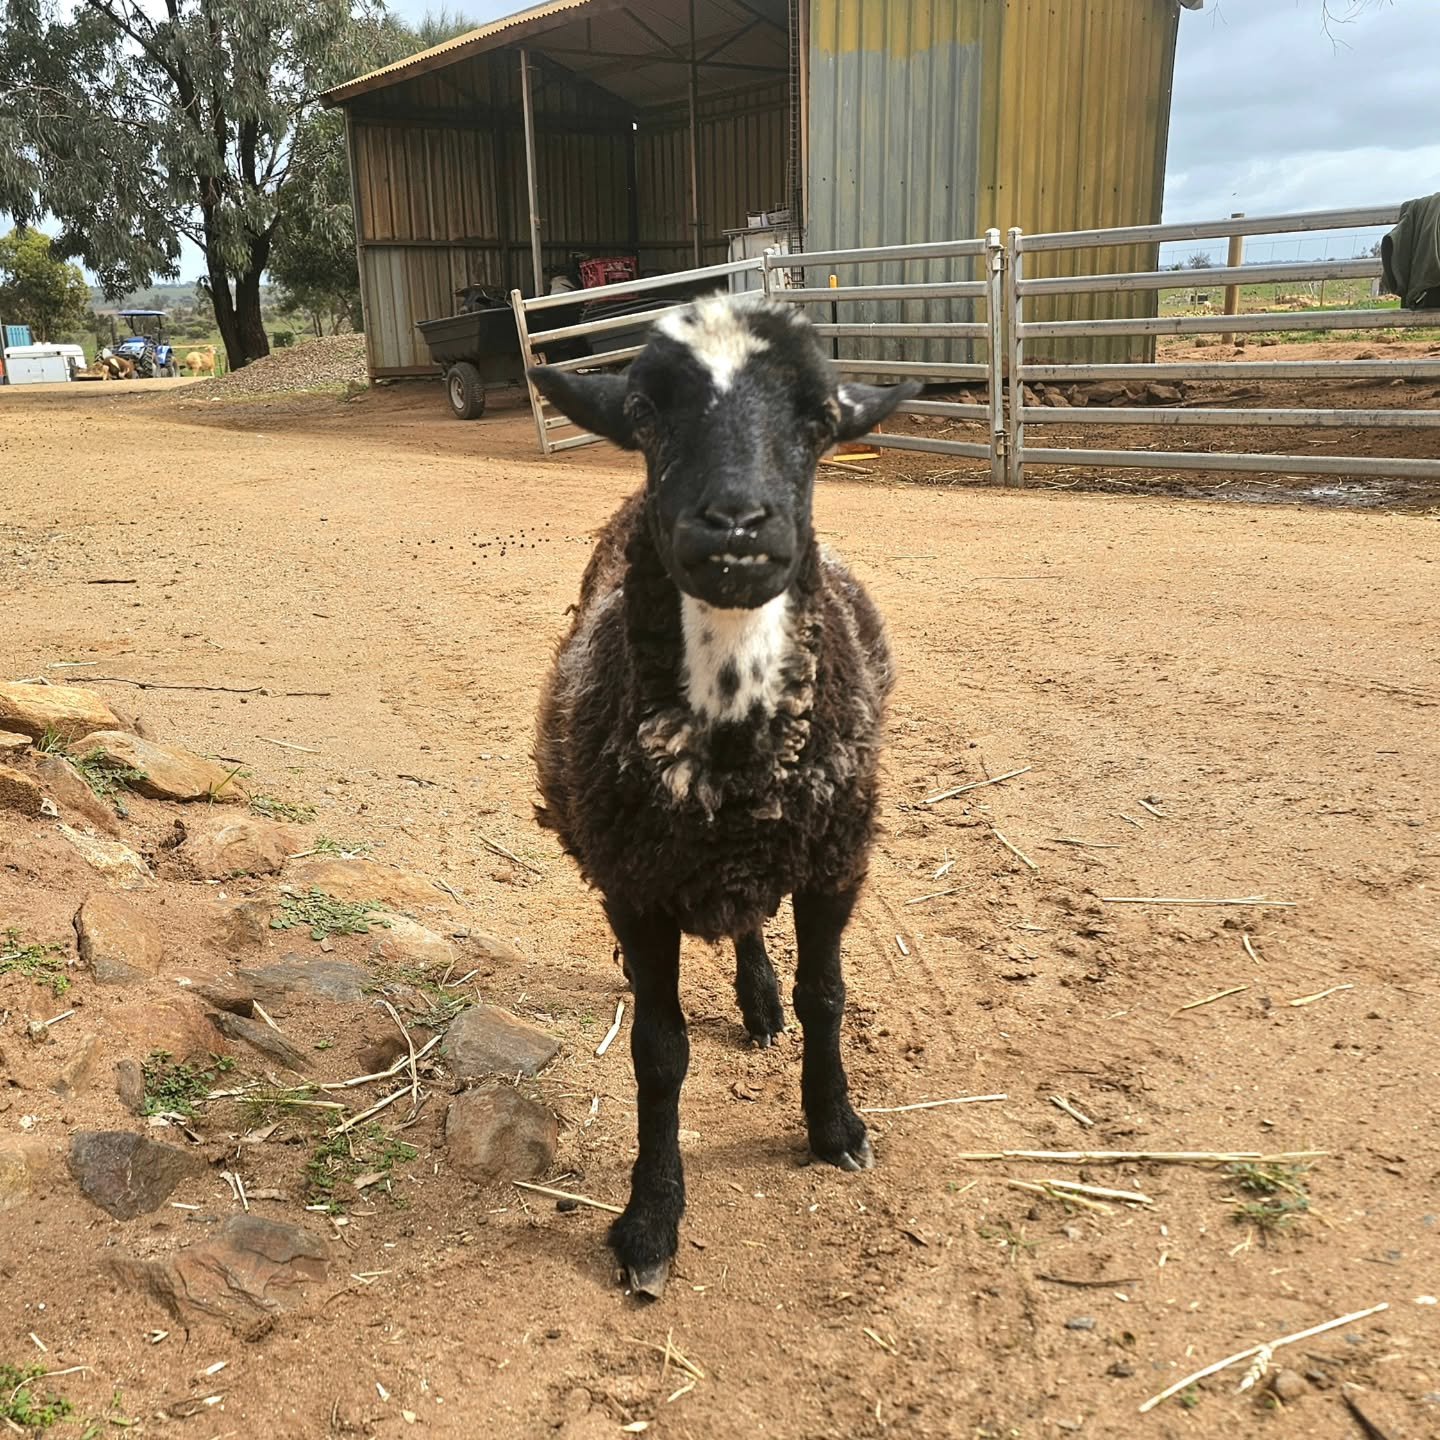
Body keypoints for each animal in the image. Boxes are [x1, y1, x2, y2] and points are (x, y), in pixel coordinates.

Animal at [529, 294, 918, 1297]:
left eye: (819, 421)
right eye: (643, 413)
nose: (737, 527)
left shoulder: (835, 862)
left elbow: (829, 995)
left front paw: (835, 1127)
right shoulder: (636, 888)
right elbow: (658, 1054)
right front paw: (650, 1219)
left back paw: (761, 1003)